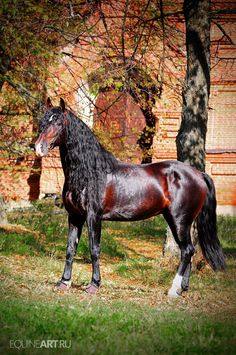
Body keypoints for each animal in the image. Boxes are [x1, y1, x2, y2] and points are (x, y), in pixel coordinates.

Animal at [34, 98, 225, 298]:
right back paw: (183, 288)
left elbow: (94, 249)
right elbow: (70, 248)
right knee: (188, 251)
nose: (38, 148)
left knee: (187, 250)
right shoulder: (75, 216)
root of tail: (198, 174)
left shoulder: (93, 216)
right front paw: (64, 282)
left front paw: (94, 285)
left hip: (180, 221)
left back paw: (173, 290)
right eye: (44, 121)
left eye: (58, 123)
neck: (90, 172)